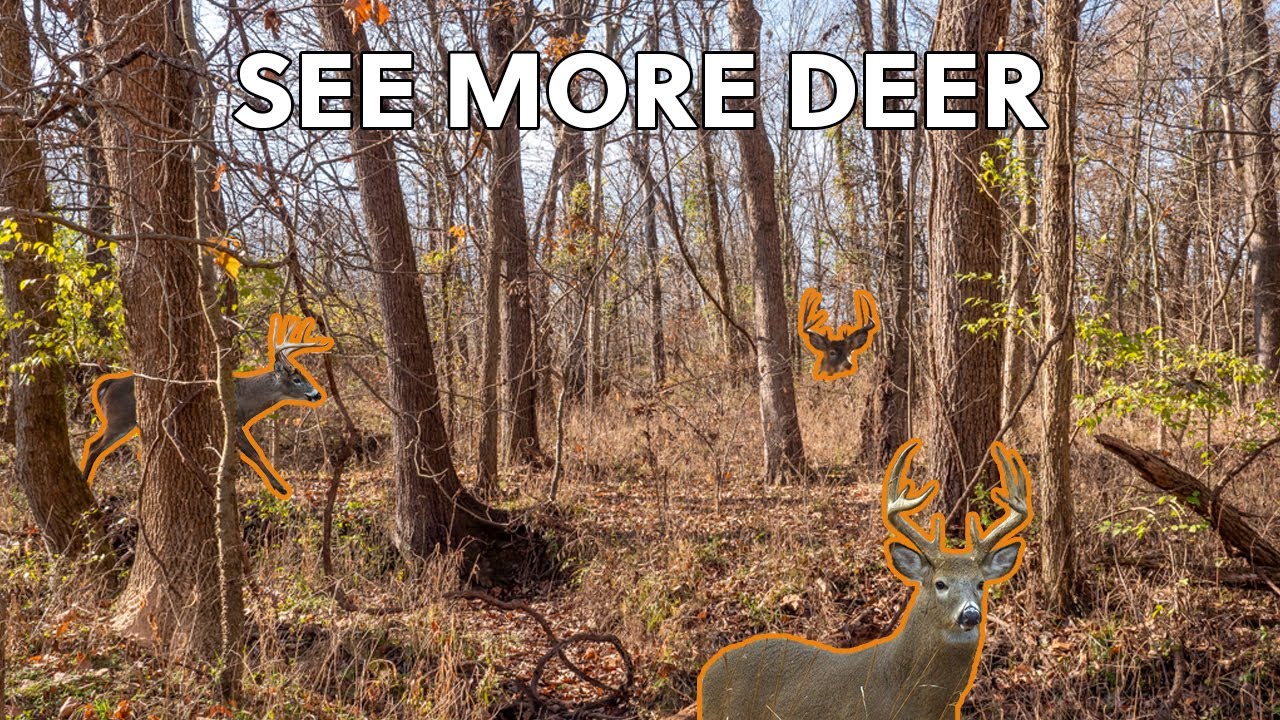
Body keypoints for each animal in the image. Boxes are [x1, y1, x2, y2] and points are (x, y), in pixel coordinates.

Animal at [81, 313, 333, 500]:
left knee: (92, 443)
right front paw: (280, 487)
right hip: (119, 419)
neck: (245, 397)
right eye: (297, 379)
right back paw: (85, 482)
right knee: (94, 448)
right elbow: (254, 453)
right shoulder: (234, 422)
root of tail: (107, 384)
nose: (317, 394)